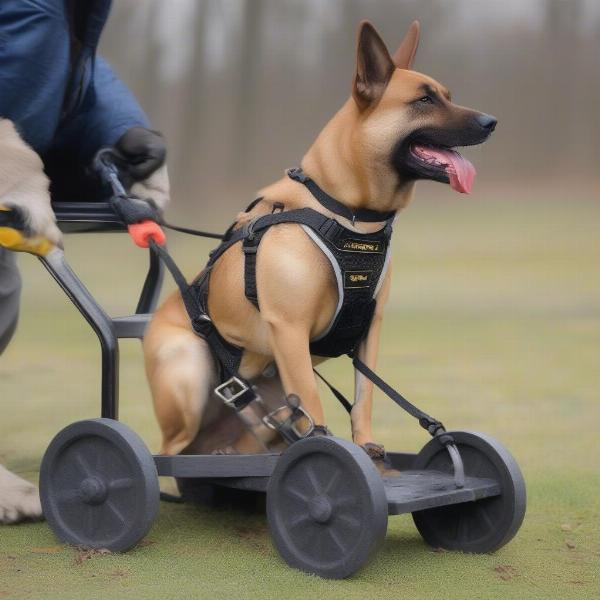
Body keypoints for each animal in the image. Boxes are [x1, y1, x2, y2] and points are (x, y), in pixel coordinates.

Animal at [145, 18, 496, 460]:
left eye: (446, 96)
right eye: (424, 100)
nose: (491, 122)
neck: (348, 214)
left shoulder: (369, 330)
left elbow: (364, 397)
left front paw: (363, 446)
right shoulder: (290, 329)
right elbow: (312, 400)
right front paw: (323, 446)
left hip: (266, 402)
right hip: (188, 375)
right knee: (169, 454)